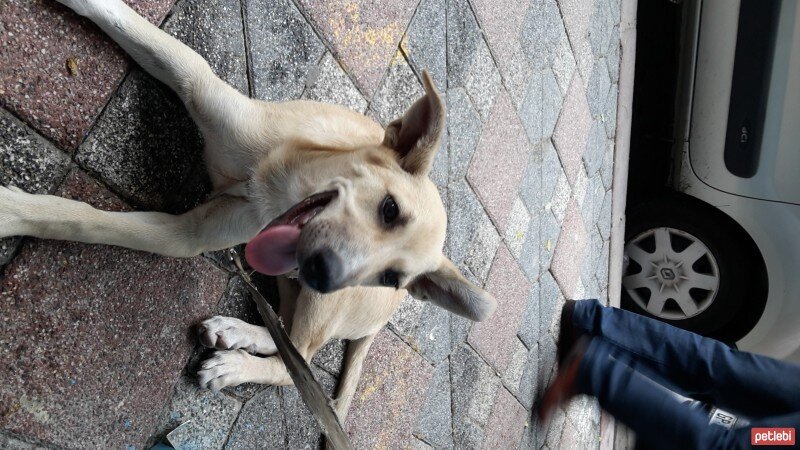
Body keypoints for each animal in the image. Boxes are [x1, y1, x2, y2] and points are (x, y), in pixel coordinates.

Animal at [0, 0, 496, 422]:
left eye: (392, 276)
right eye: (390, 209)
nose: (324, 273)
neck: (275, 184)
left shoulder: (184, 236)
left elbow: (79, 218)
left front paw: (12, 211)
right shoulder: (197, 81)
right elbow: (131, 26)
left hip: (323, 306)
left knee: (298, 360)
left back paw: (234, 366)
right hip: (297, 287)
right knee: (287, 337)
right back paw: (238, 333)